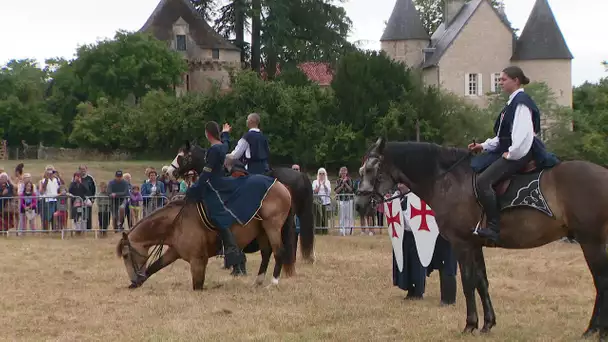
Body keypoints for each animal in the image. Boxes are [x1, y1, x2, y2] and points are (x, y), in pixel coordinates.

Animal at [115, 182, 296, 288]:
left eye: (126, 255)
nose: (133, 279)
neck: (175, 223)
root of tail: (283, 187)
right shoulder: (174, 252)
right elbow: (155, 266)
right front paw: (139, 282)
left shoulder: (198, 261)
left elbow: (197, 285)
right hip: (262, 231)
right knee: (266, 253)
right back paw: (258, 281)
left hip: (272, 227)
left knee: (279, 252)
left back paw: (273, 282)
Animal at [354, 138, 608, 340]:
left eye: (371, 170)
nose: (359, 204)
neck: (448, 180)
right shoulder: (475, 245)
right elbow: (481, 282)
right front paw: (488, 323)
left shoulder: (462, 244)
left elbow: (468, 283)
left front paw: (470, 324)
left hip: (591, 242)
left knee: (601, 282)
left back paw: (594, 330)